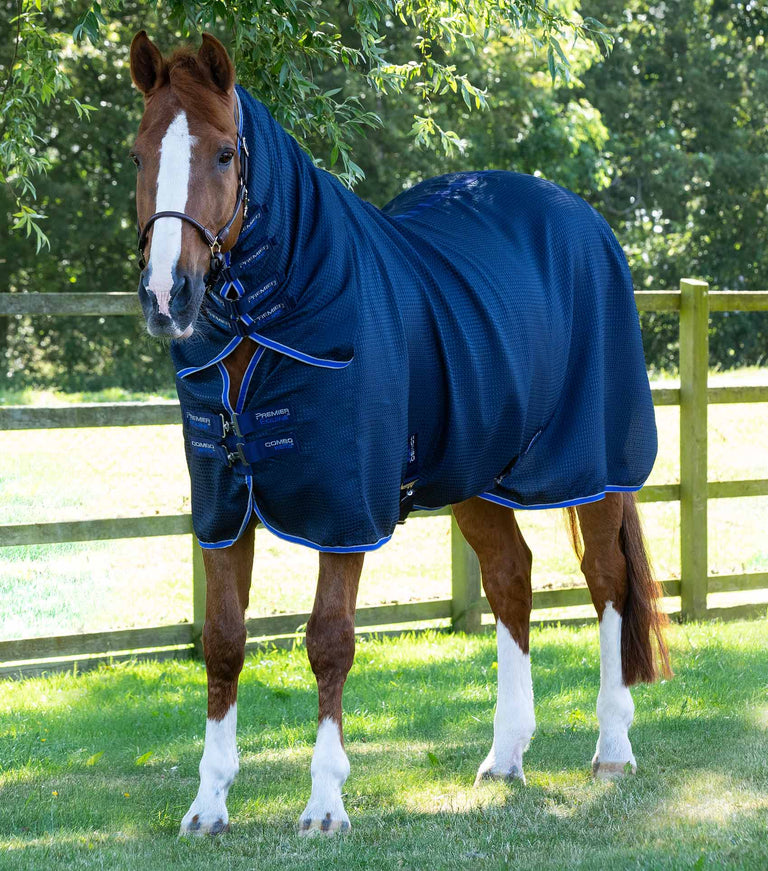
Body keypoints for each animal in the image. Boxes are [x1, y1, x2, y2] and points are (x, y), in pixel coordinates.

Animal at [128, 31, 671, 836]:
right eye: (138, 155)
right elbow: (223, 642)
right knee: (510, 580)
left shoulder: (345, 513)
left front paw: (325, 803)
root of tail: (585, 220)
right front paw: (208, 804)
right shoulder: (224, 508)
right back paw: (505, 754)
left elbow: (329, 640)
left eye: (225, 153)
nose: (168, 296)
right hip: (476, 476)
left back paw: (611, 747)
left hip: (595, 467)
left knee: (607, 584)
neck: (275, 325)